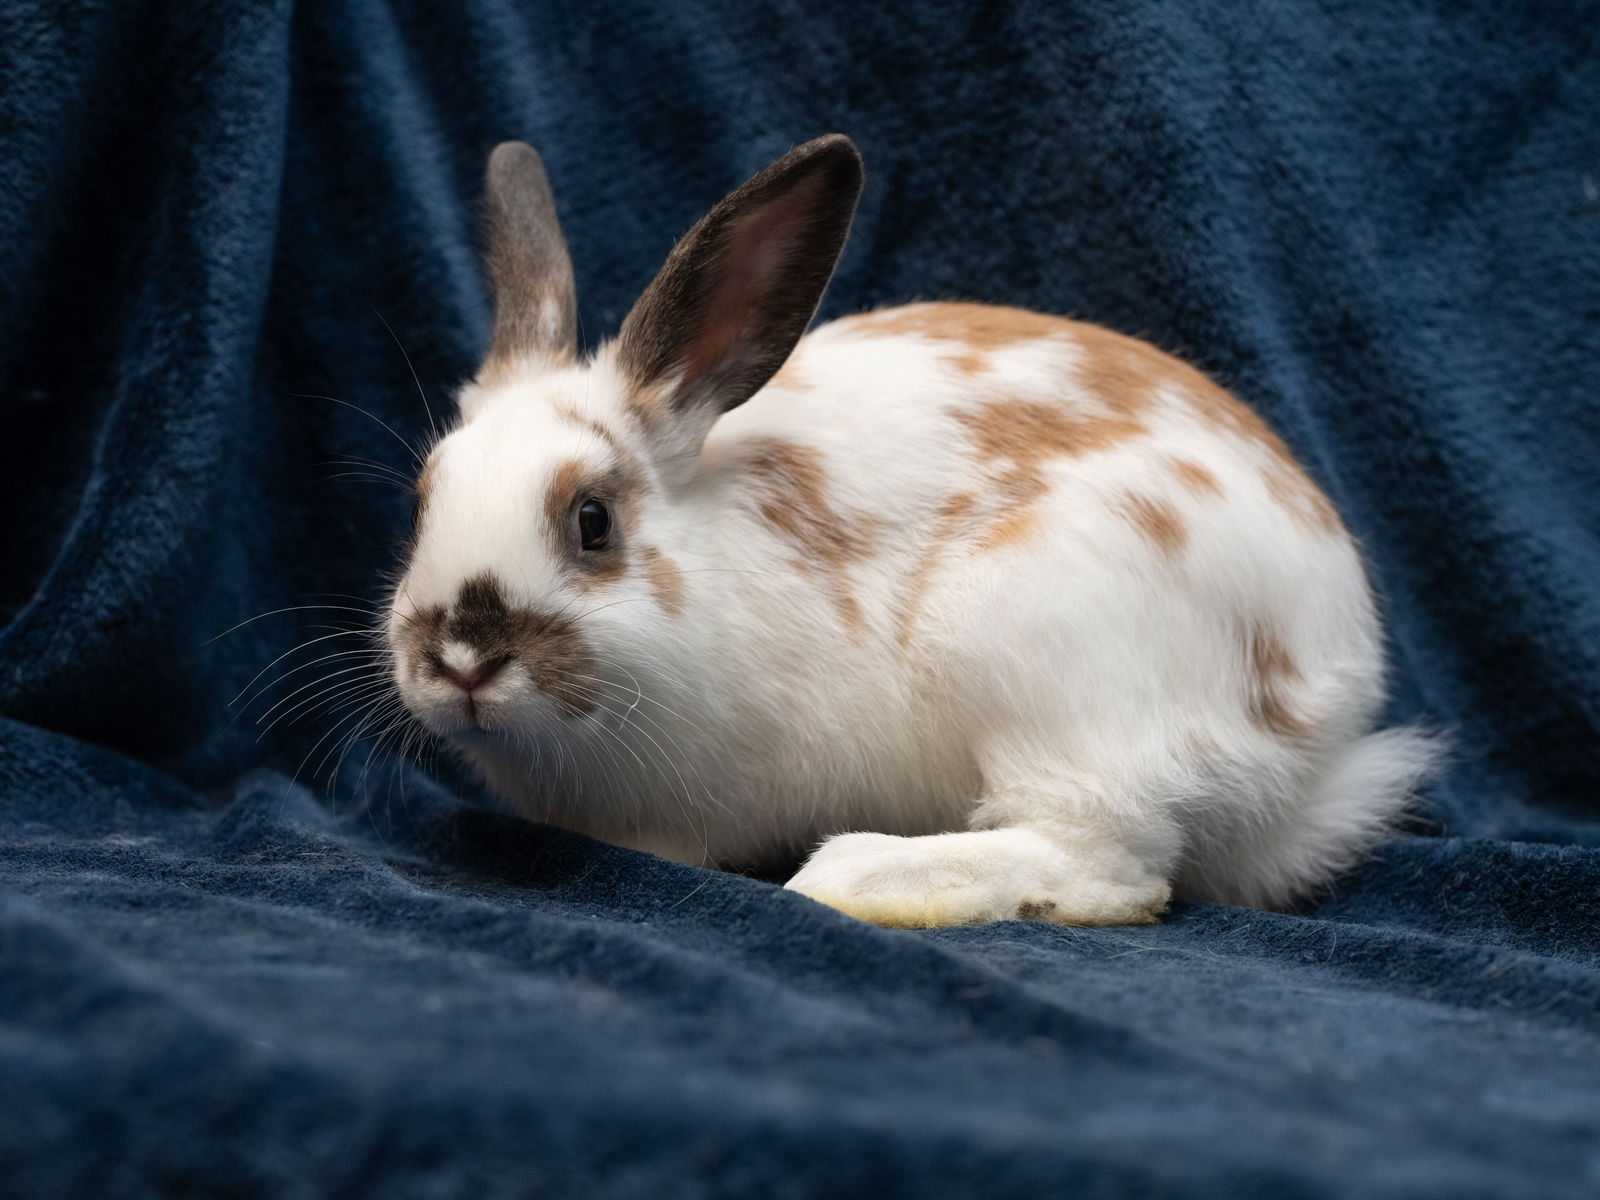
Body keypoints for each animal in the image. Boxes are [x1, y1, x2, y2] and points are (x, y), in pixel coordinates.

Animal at [384, 133, 1440, 928]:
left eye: (593, 521)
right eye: (421, 502)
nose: (463, 656)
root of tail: (1328, 712)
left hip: (1043, 656)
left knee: (1111, 865)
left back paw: (857, 877)